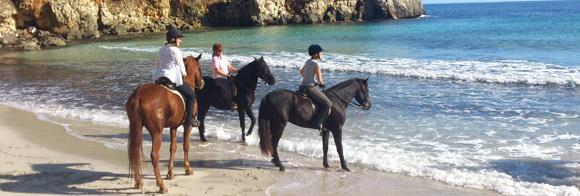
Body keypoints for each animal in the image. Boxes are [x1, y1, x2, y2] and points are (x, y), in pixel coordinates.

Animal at [126, 54, 204, 193]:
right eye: (199, 66)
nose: (202, 82)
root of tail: (138, 95)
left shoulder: (173, 126)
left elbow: (173, 147)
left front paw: (170, 172)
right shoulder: (186, 125)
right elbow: (186, 146)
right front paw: (187, 168)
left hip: (136, 128)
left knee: (135, 152)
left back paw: (138, 182)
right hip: (157, 132)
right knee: (154, 156)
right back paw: (161, 185)